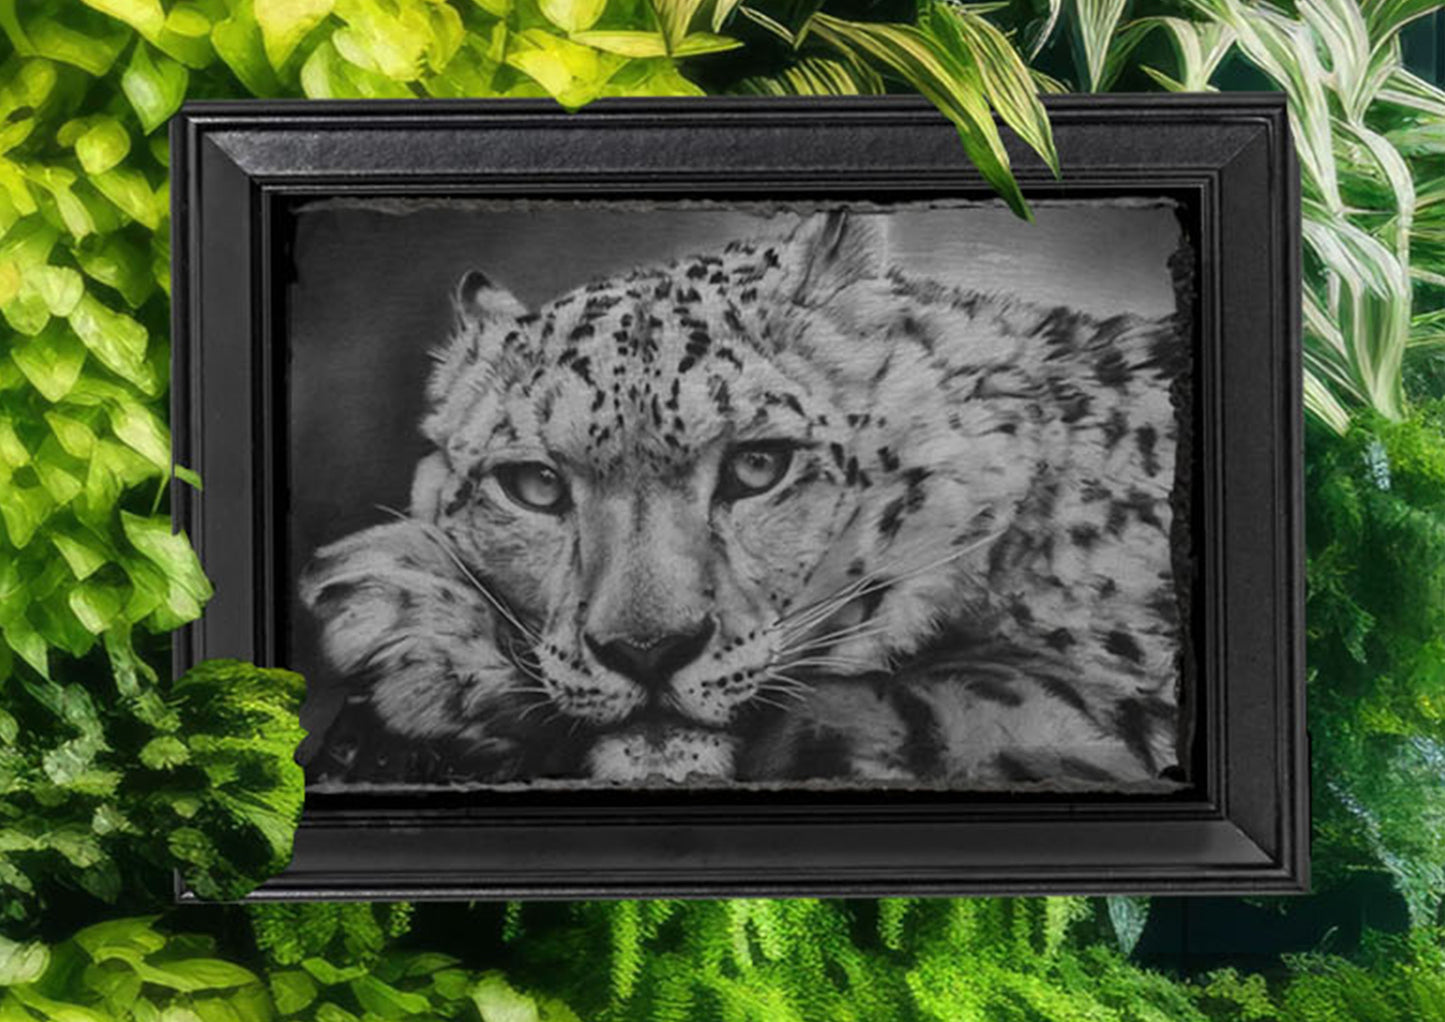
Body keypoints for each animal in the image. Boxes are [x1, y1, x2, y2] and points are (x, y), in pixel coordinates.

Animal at [299, 210, 1189, 789]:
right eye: (535, 485)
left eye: (758, 465)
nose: (647, 651)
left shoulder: (1096, 704)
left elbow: (914, 708)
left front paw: (404, 616)